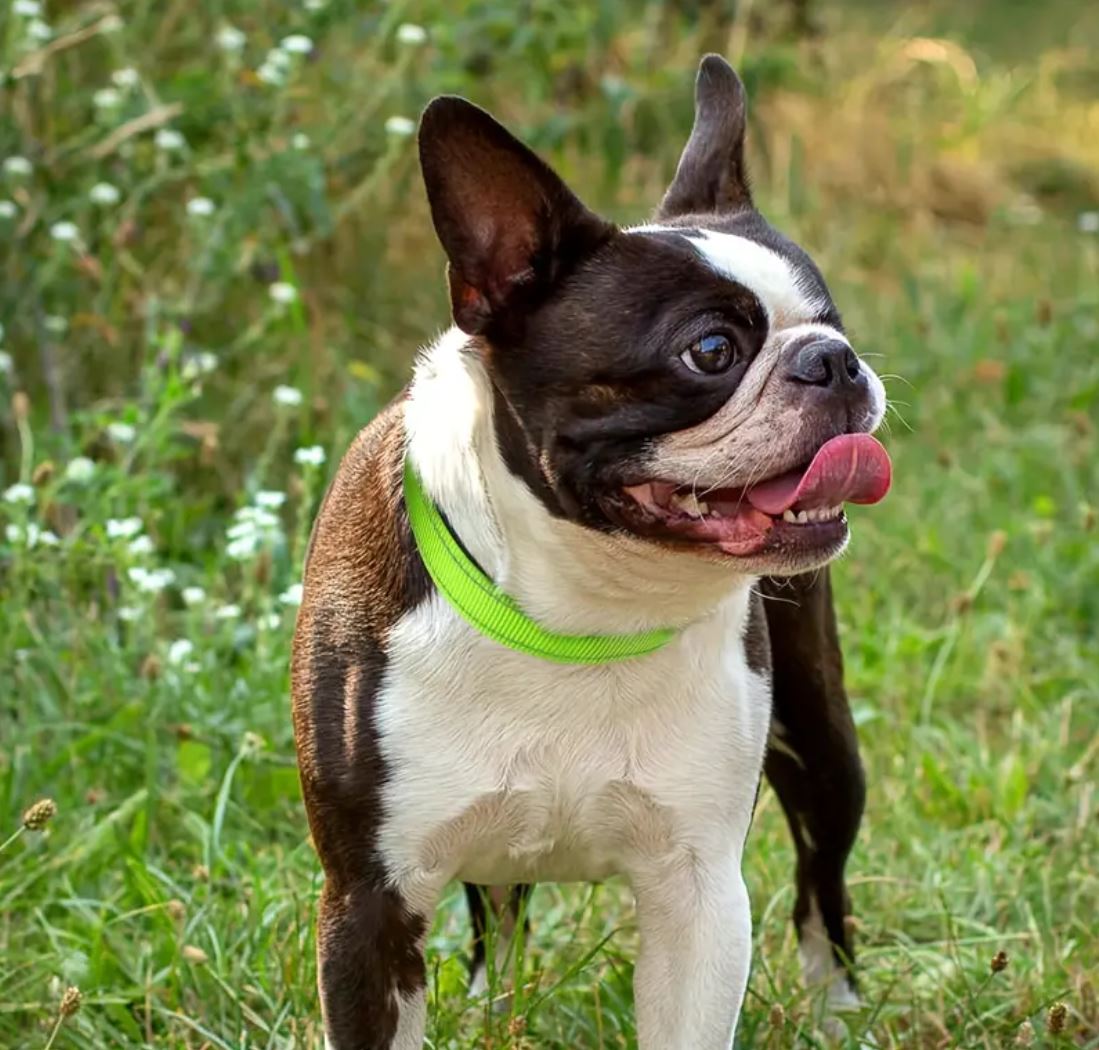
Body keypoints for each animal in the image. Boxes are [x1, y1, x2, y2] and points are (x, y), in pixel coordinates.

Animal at [294, 51, 892, 1050]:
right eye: (710, 351)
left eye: (835, 319)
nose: (835, 360)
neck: (581, 615)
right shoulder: (368, 903)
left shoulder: (698, 895)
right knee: (499, 911)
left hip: (819, 738)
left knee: (822, 882)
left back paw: (836, 1008)